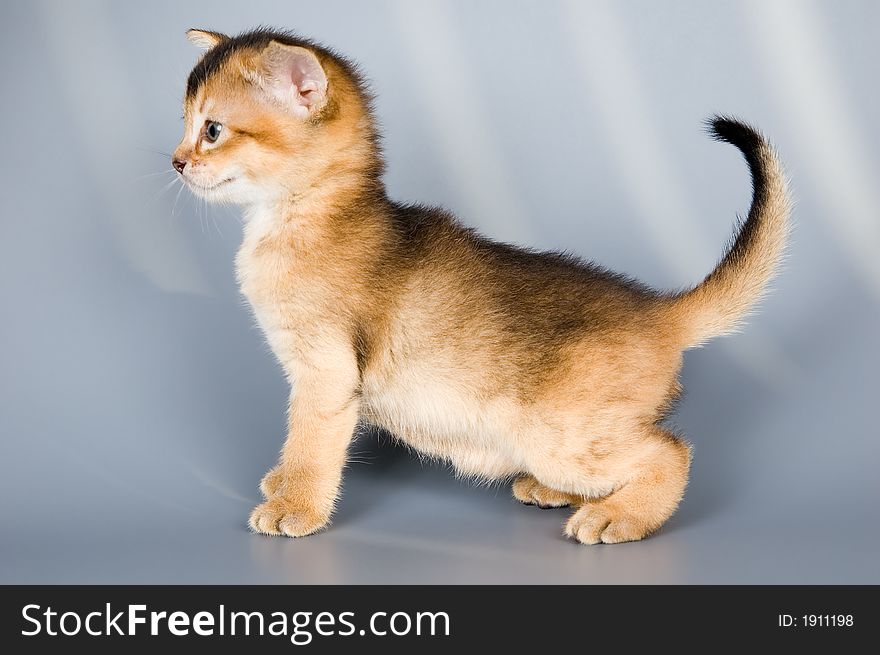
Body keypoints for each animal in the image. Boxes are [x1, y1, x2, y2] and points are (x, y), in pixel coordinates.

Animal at [172, 28, 792, 544]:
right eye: (185, 125)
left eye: (212, 130)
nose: (176, 161)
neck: (301, 218)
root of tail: (658, 311)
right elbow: (296, 437)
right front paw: (283, 483)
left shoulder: (325, 370)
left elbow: (310, 441)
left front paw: (295, 505)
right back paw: (557, 492)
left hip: (557, 433)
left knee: (670, 452)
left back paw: (618, 515)